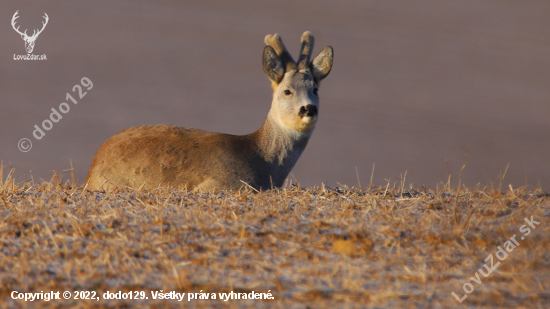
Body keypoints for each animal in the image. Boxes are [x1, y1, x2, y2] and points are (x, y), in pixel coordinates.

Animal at [87, 31, 332, 190]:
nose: (308, 109)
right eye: (287, 91)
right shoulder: (218, 184)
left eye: (315, 89)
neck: (263, 163)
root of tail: (93, 164)